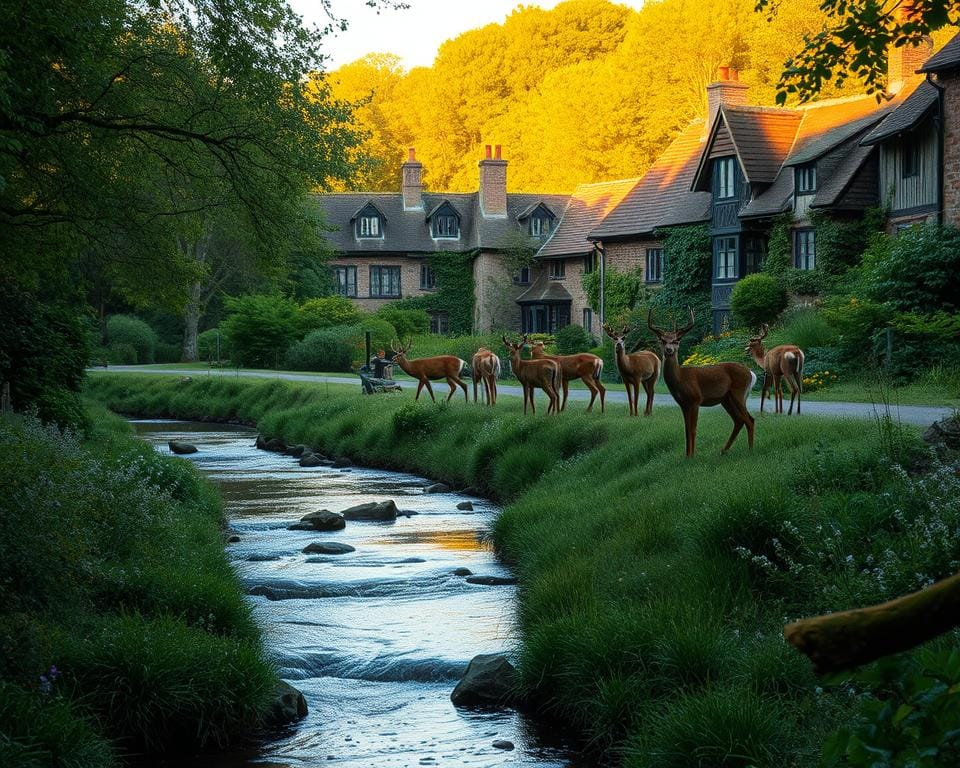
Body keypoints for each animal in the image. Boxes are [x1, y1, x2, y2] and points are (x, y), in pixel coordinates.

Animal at [648, 308, 756, 457]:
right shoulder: (683, 404)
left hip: (738, 393)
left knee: (749, 420)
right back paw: (723, 450)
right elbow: (686, 431)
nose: (669, 350)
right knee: (739, 420)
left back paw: (750, 450)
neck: (681, 379)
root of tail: (750, 373)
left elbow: (693, 430)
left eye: (676, 340)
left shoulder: (695, 400)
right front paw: (687, 456)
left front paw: (692, 456)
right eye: (663, 340)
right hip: (726, 399)